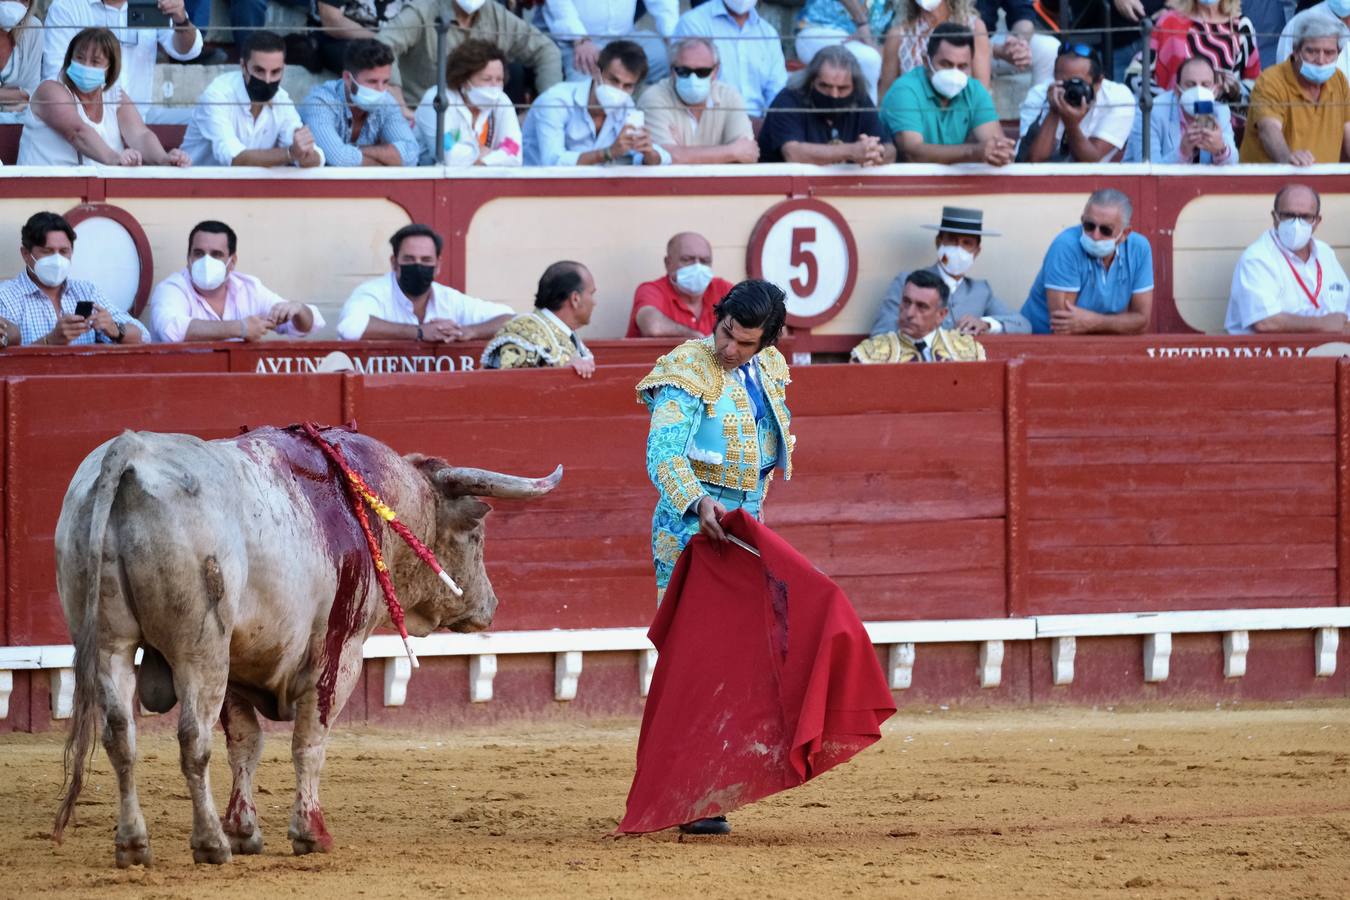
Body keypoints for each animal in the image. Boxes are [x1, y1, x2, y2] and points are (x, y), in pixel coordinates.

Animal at [51, 429, 558, 863]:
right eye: (476, 536)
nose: (490, 605)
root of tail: (130, 453)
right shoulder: (339, 653)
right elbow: (309, 740)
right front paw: (310, 833)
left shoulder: (239, 660)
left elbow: (245, 743)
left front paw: (245, 831)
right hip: (200, 650)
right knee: (193, 738)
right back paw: (209, 843)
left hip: (111, 645)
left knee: (120, 735)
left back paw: (133, 844)